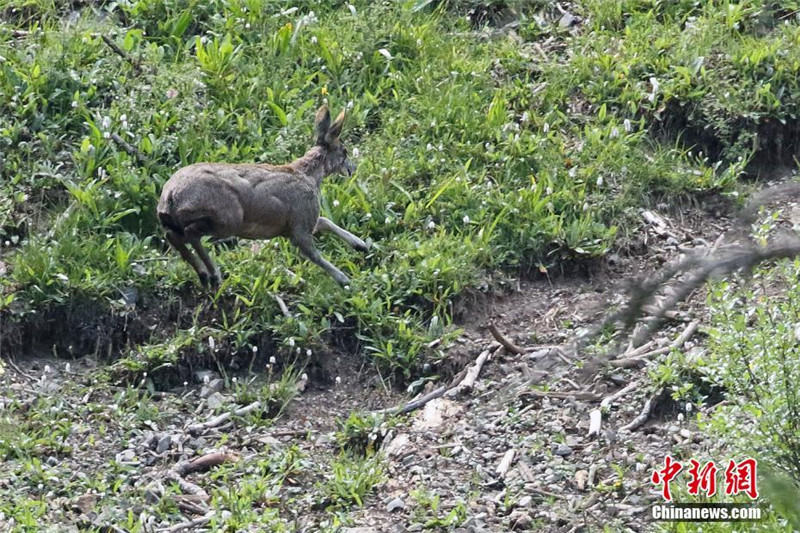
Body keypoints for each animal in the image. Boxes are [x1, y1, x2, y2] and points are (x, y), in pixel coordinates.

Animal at [157, 104, 368, 286]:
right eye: (344, 152)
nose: (352, 169)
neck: (308, 174)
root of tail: (170, 197)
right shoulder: (300, 228)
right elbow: (313, 254)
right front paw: (344, 280)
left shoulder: (303, 224)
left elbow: (325, 222)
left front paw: (361, 245)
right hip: (227, 219)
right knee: (191, 235)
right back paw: (213, 275)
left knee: (174, 237)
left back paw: (204, 276)